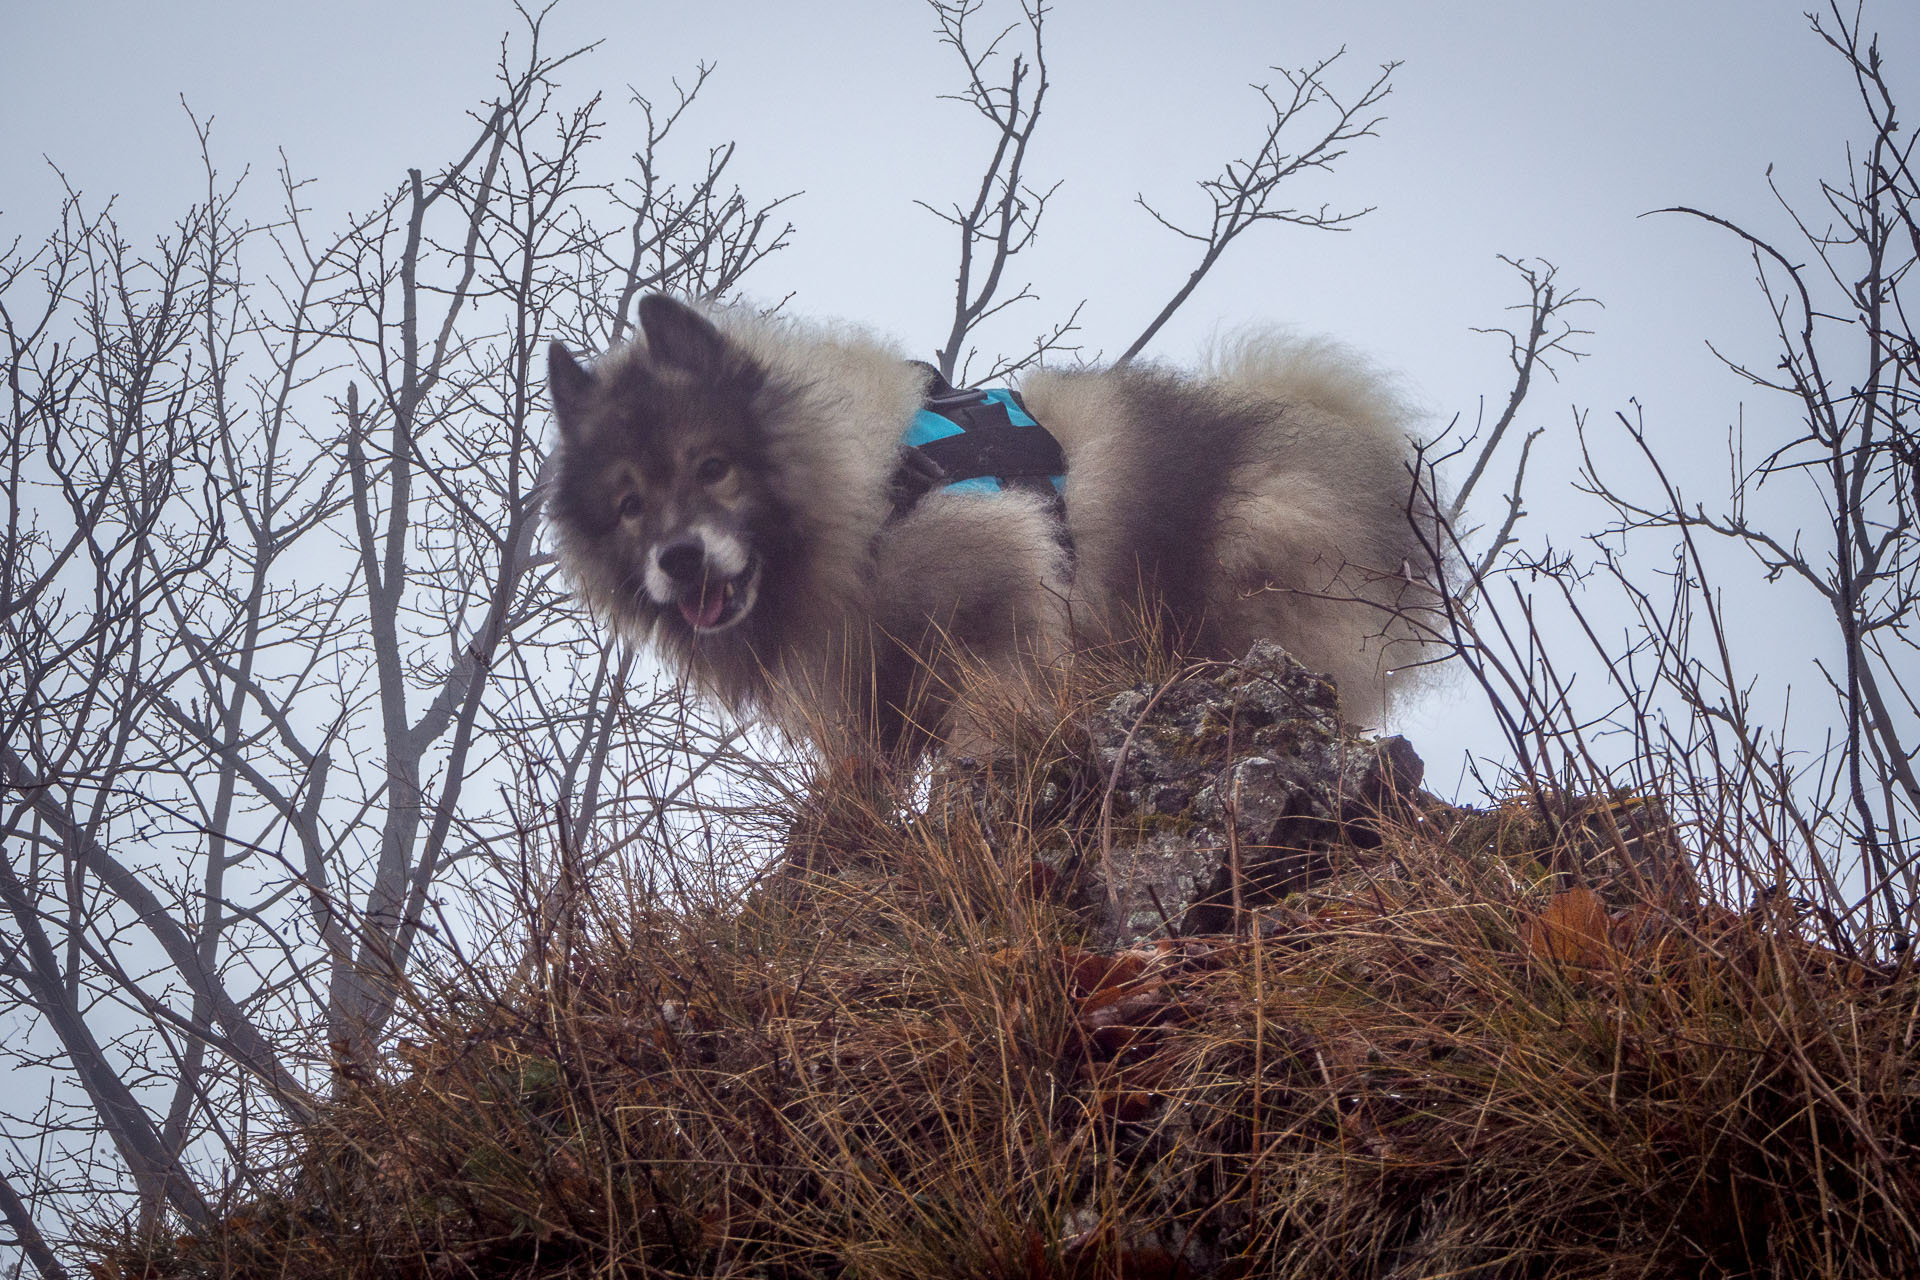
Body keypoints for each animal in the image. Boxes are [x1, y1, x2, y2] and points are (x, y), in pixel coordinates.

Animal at [541, 297, 1443, 759]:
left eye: (711, 467)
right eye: (628, 505)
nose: (678, 558)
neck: (870, 490)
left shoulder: (992, 625)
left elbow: (981, 733)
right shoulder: (864, 704)